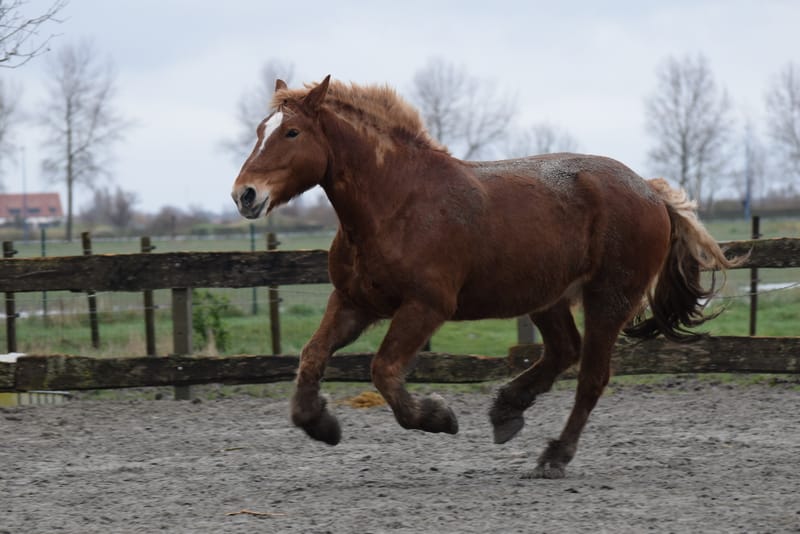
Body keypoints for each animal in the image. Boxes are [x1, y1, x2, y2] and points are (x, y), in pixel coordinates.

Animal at [231, 76, 739, 479]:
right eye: (260, 131)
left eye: (292, 132)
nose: (244, 195)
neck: (397, 203)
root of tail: (651, 192)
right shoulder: (354, 302)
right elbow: (312, 355)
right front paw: (320, 424)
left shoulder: (426, 306)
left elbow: (384, 371)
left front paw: (438, 416)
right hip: (547, 297)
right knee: (564, 351)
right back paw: (507, 410)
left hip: (608, 300)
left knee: (592, 377)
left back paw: (554, 456)